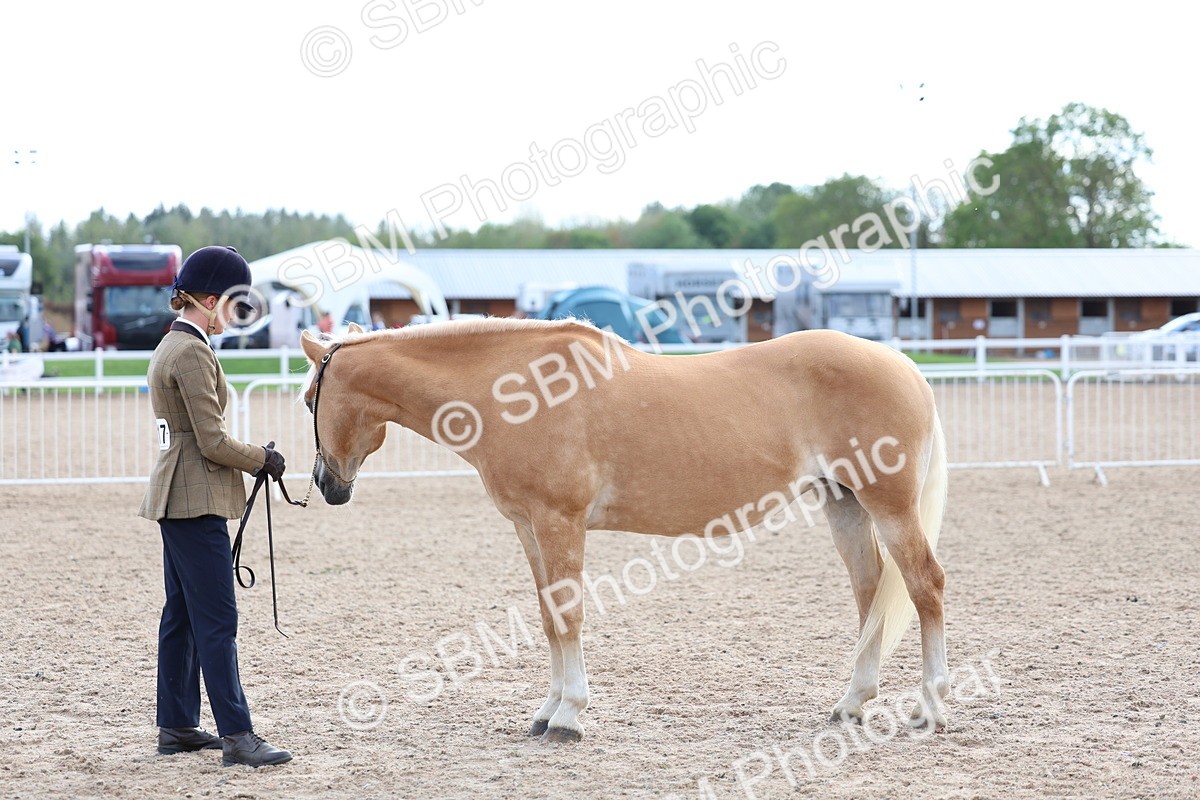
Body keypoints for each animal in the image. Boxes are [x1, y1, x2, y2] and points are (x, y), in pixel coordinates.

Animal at [299, 317, 949, 743]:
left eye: (309, 400)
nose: (328, 485)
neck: (515, 390)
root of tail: (905, 367)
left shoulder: (559, 522)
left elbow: (569, 614)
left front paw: (568, 717)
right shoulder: (529, 528)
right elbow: (548, 616)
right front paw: (546, 710)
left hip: (889, 506)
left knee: (925, 586)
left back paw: (931, 708)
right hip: (845, 504)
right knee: (870, 592)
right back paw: (851, 705)